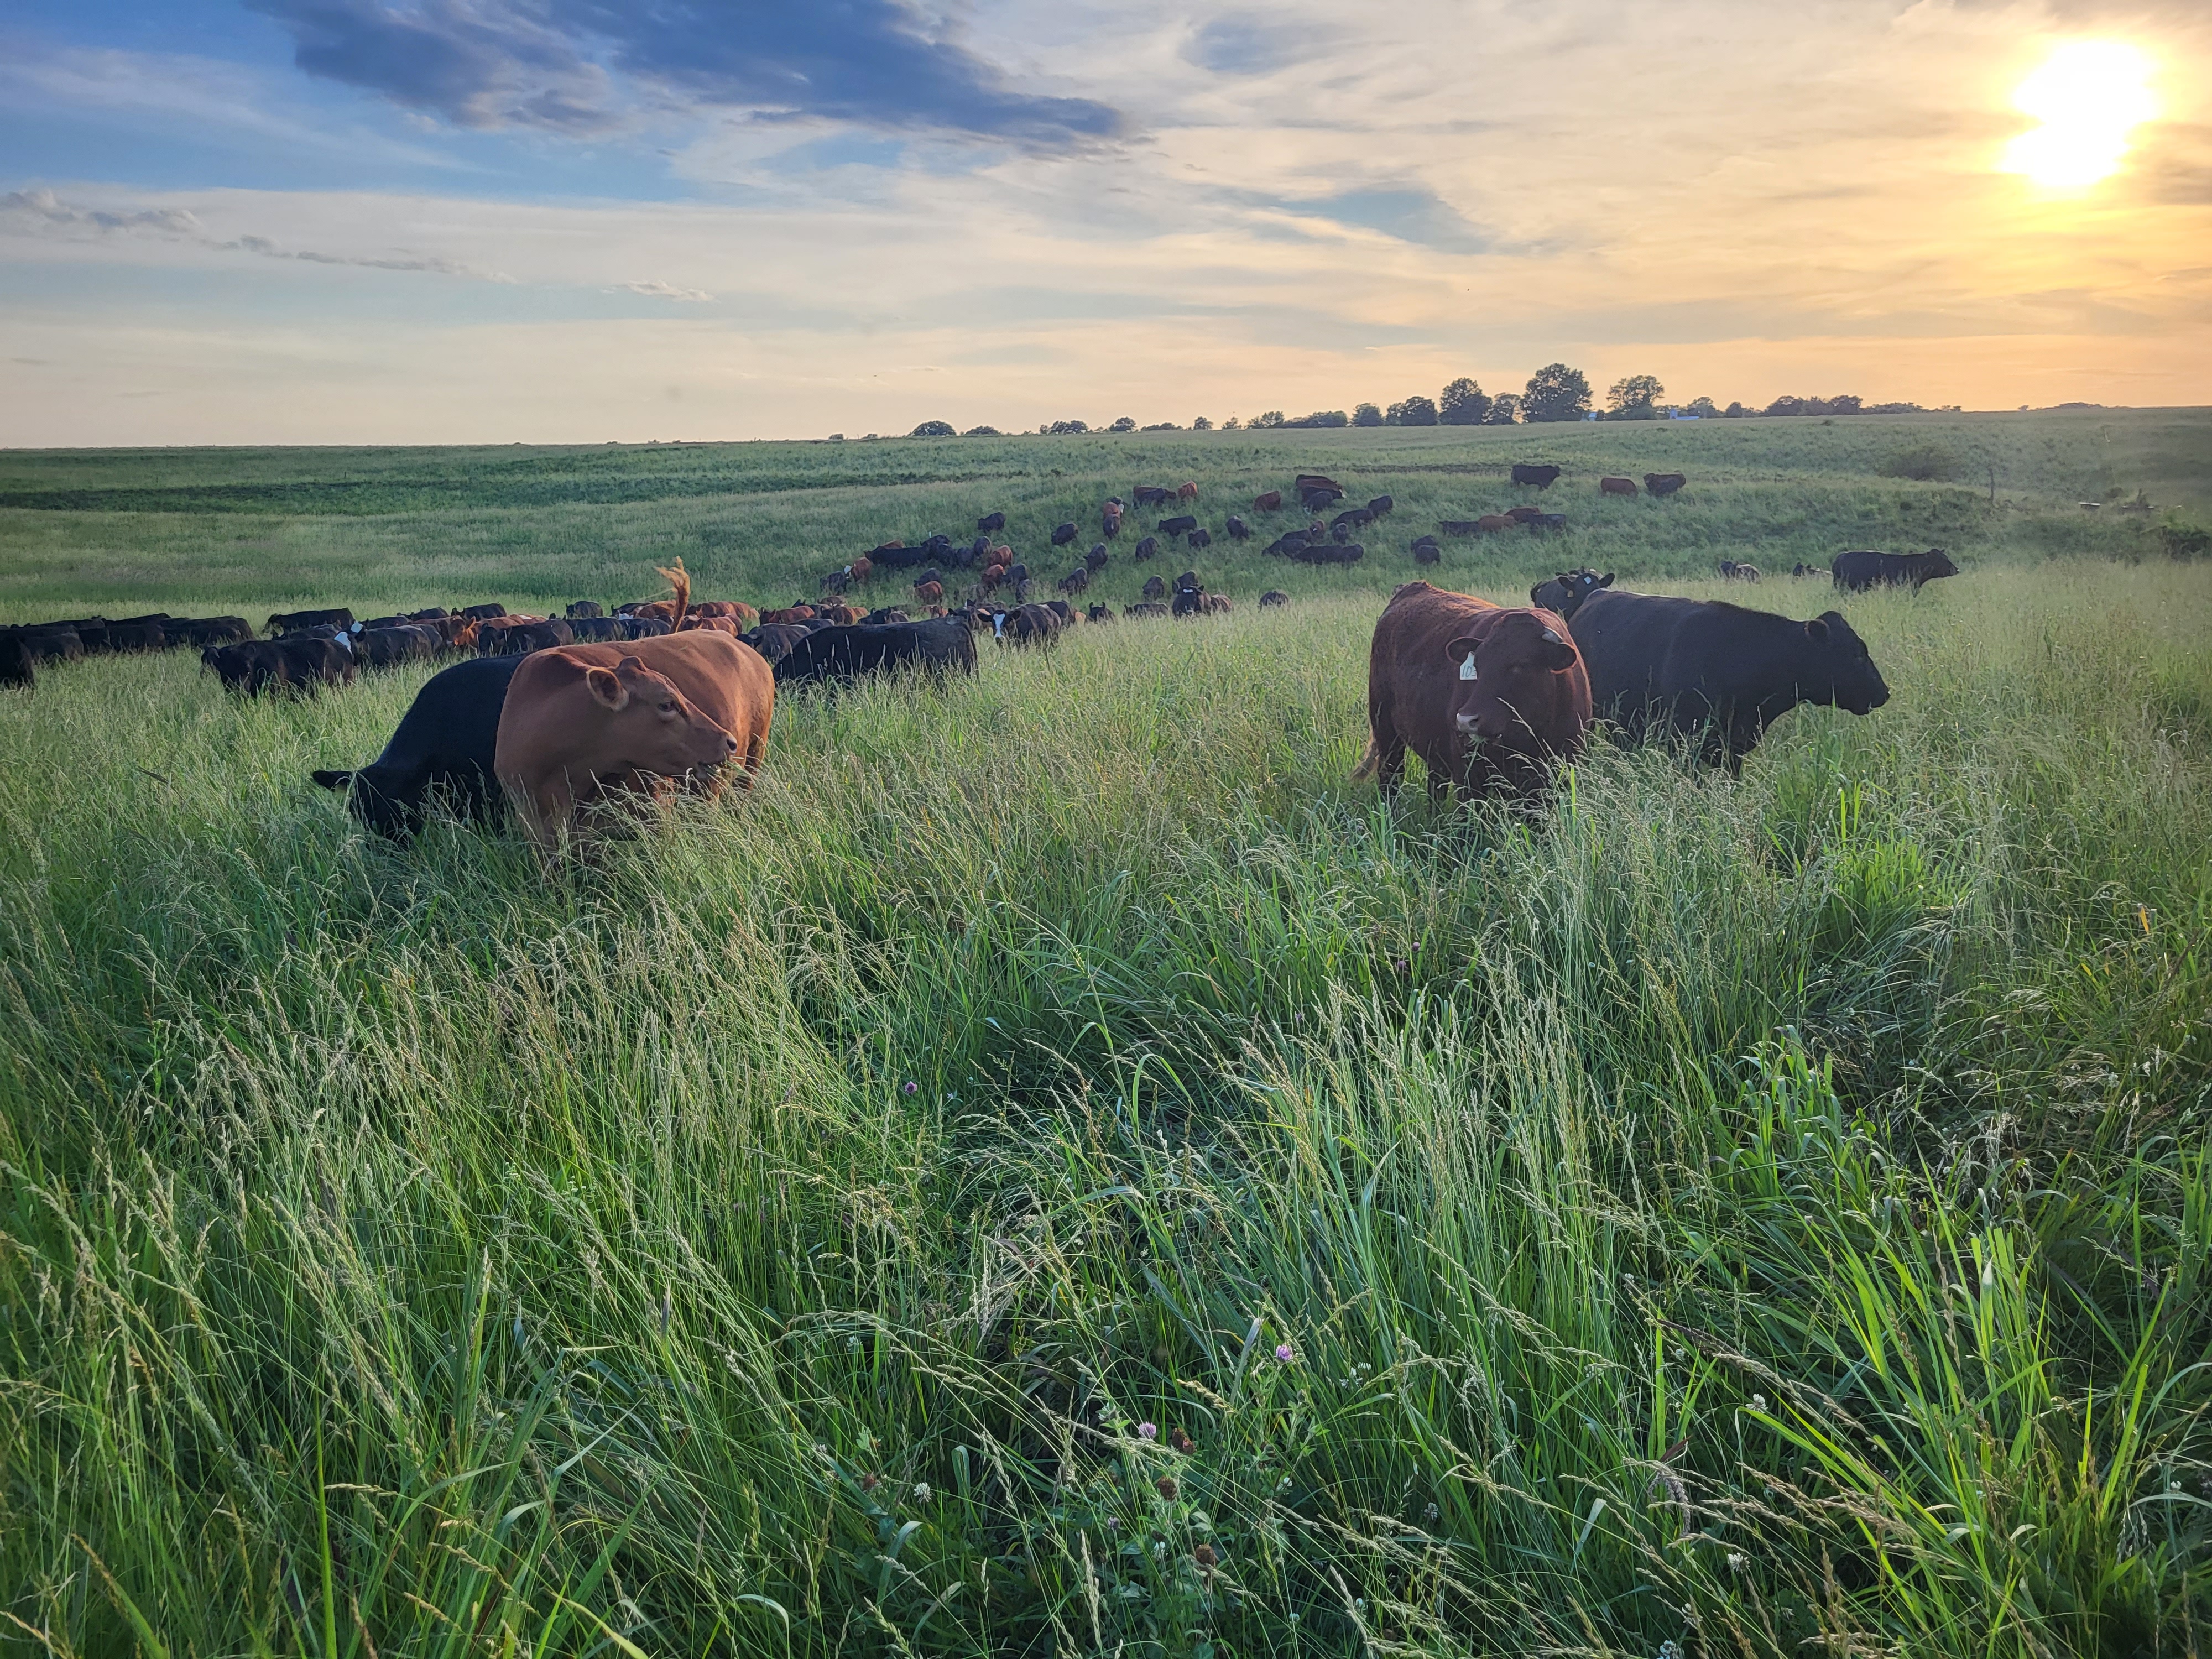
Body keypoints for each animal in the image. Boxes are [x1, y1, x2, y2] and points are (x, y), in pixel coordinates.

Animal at [1345, 580, 1593, 801]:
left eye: (1520, 665)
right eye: (1477, 664)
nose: (1466, 720)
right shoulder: (1470, 777)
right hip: (1386, 732)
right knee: (1391, 779)